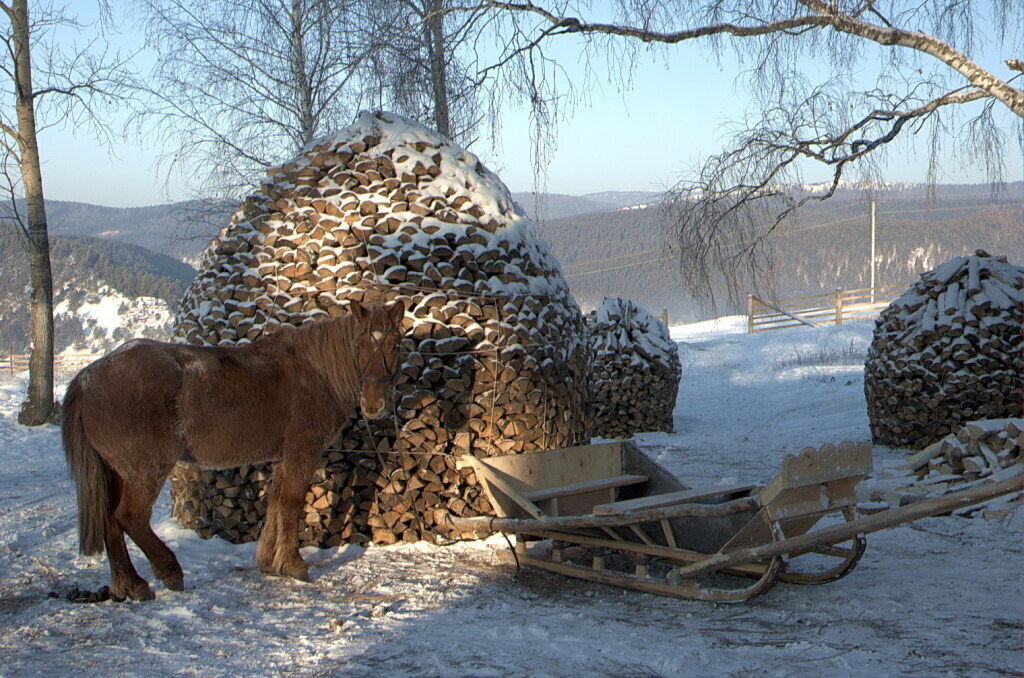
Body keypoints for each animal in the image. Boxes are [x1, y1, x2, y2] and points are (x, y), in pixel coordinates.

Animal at [60, 301, 407, 602]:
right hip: (146, 469)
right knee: (129, 517)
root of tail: (88, 378)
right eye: (360, 344)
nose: (373, 404)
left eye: (394, 345)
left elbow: (276, 504)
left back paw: (131, 584)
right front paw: (293, 564)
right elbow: (292, 504)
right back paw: (169, 571)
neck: (314, 370)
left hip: (116, 471)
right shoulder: (301, 451)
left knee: (109, 521)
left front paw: (269, 562)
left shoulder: (282, 457)